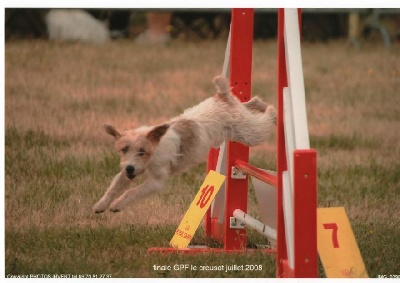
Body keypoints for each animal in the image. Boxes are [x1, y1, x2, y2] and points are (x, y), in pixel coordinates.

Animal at [93, 75, 276, 213]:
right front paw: (100, 205)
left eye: (142, 151)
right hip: (242, 117)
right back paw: (260, 104)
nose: (130, 168)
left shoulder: (156, 181)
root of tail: (221, 96)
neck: (156, 148)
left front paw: (117, 205)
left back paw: (274, 111)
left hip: (251, 133)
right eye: (124, 150)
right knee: (252, 102)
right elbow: (114, 186)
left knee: (266, 119)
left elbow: (132, 191)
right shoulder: (127, 172)